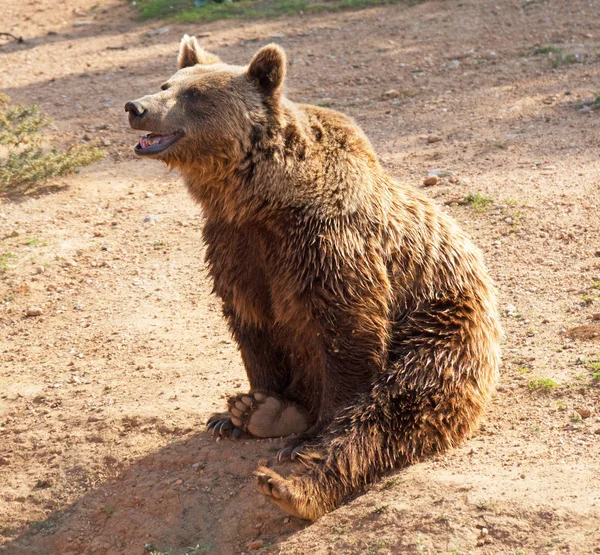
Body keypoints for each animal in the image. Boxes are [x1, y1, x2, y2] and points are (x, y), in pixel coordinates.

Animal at [125, 34, 502, 520]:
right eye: (166, 83)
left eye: (193, 94)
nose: (135, 107)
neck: (260, 199)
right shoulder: (237, 246)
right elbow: (252, 322)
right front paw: (242, 409)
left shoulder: (328, 243)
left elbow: (348, 334)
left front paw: (305, 433)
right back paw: (263, 414)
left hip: (442, 328)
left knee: (397, 405)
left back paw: (293, 483)